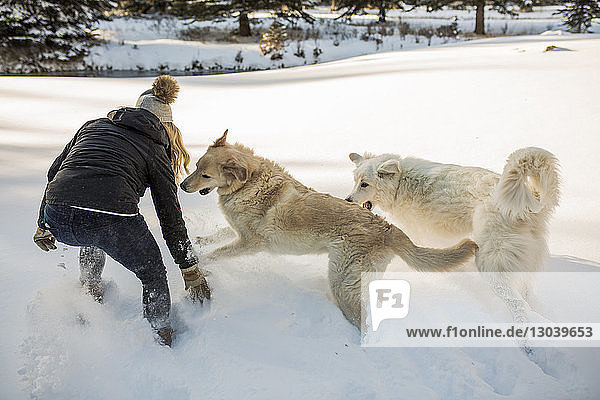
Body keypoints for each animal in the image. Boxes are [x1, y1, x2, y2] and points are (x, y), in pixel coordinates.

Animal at [346, 147, 564, 324]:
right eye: (355, 182)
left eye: (364, 184)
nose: (347, 200)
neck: (400, 184)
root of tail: (529, 201)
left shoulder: (420, 234)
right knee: (525, 294)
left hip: (491, 263)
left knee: (518, 305)